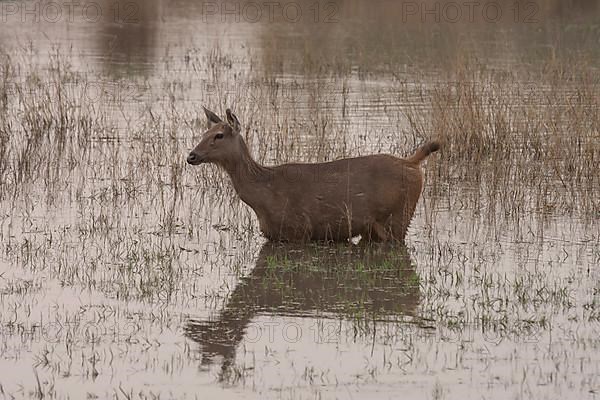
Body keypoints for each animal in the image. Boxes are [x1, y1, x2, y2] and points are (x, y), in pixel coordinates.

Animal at [188, 107, 440, 244]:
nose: (191, 155)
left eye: (219, 135)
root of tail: (412, 163)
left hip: (398, 217)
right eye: (204, 133)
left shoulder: (299, 230)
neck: (263, 195)